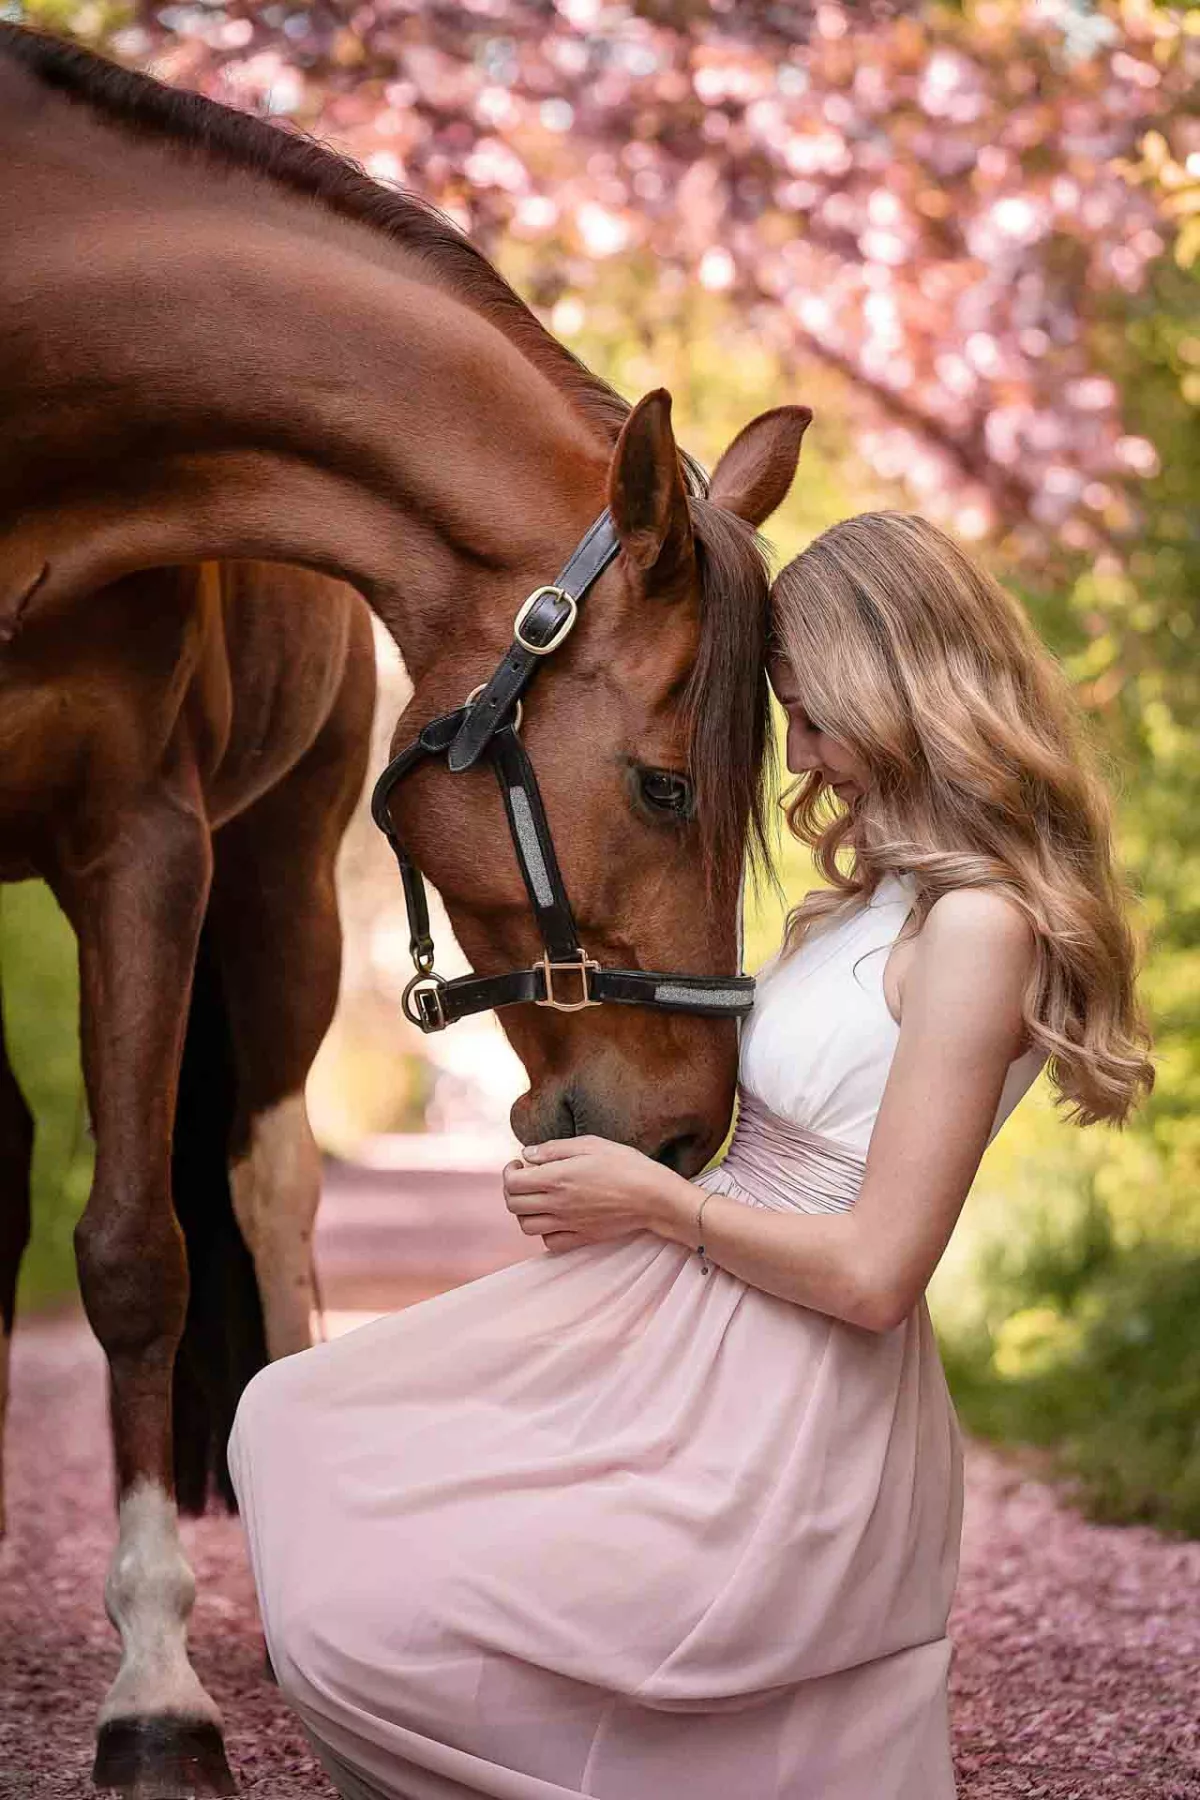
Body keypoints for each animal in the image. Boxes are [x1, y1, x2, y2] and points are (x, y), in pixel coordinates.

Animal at [0, 23, 809, 1797]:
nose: (685, 1133)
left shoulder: (142, 845)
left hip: (278, 890)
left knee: (270, 1188)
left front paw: (157, 1687)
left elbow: (143, 1250)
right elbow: (123, 1253)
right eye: (667, 788)